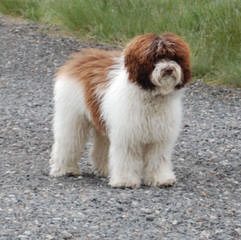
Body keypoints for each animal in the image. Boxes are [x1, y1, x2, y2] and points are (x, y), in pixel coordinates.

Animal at [49, 33, 192, 188]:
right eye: (156, 57)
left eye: (175, 57)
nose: (168, 69)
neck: (152, 97)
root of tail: (79, 58)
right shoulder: (127, 136)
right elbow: (126, 158)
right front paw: (126, 180)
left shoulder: (159, 138)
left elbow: (158, 158)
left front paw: (160, 178)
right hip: (72, 117)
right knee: (68, 141)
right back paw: (65, 169)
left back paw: (105, 169)